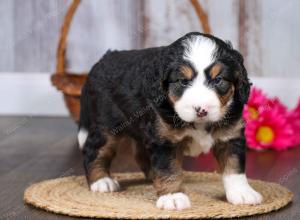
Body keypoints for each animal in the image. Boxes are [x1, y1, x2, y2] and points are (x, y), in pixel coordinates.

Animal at [78, 32, 262, 210]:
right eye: (183, 81)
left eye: (218, 80)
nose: (201, 110)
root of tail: (102, 61)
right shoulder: (164, 140)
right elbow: (168, 168)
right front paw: (172, 196)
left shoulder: (230, 136)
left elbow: (235, 167)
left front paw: (242, 193)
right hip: (107, 126)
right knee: (94, 150)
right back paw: (101, 181)